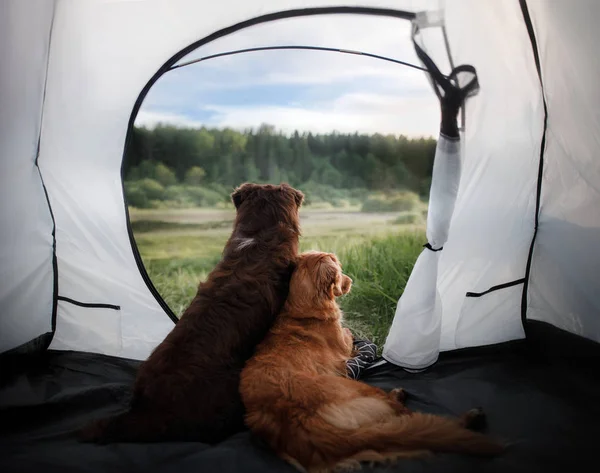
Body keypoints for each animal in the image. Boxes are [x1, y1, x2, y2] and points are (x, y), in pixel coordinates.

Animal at [238, 253, 502, 470]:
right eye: (340, 269)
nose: (351, 280)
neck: (302, 309)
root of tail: (295, 420)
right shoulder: (345, 347)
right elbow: (349, 335)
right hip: (367, 391)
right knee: (416, 420)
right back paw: (466, 416)